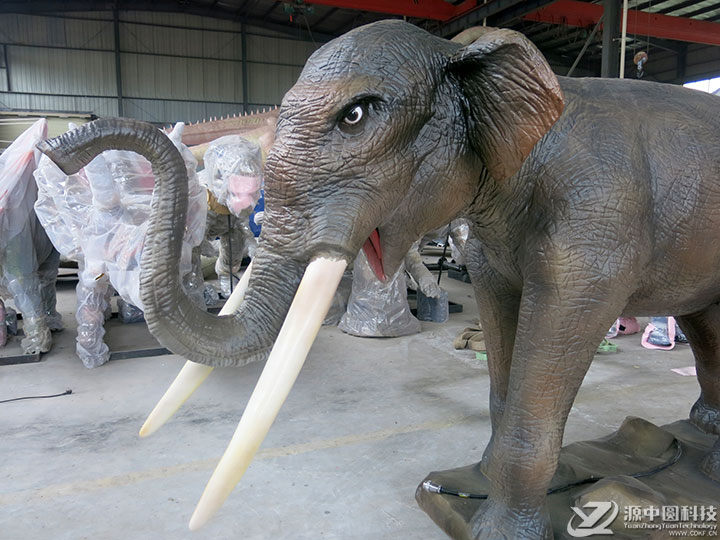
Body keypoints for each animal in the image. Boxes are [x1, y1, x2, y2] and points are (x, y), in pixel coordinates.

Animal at [39, 19, 720, 539]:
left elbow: (561, 326)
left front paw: (501, 532)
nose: (61, 147)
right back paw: (704, 435)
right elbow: (501, 315)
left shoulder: (597, 222)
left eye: (356, 115)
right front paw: (464, 487)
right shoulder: (496, 242)